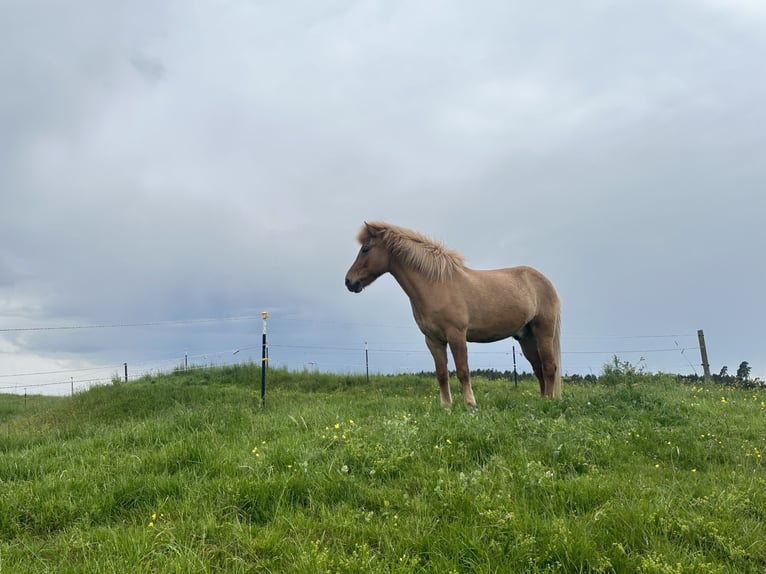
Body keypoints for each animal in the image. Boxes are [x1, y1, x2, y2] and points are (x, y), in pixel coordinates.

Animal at [344, 221, 562, 407]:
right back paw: (542, 400)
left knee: (549, 367)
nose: (349, 281)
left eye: (365, 249)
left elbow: (462, 370)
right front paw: (446, 406)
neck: (436, 285)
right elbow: (441, 373)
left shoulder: (456, 334)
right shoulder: (433, 339)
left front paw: (471, 404)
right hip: (526, 338)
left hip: (543, 332)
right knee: (539, 368)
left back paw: (550, 401)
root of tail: (545, 282)